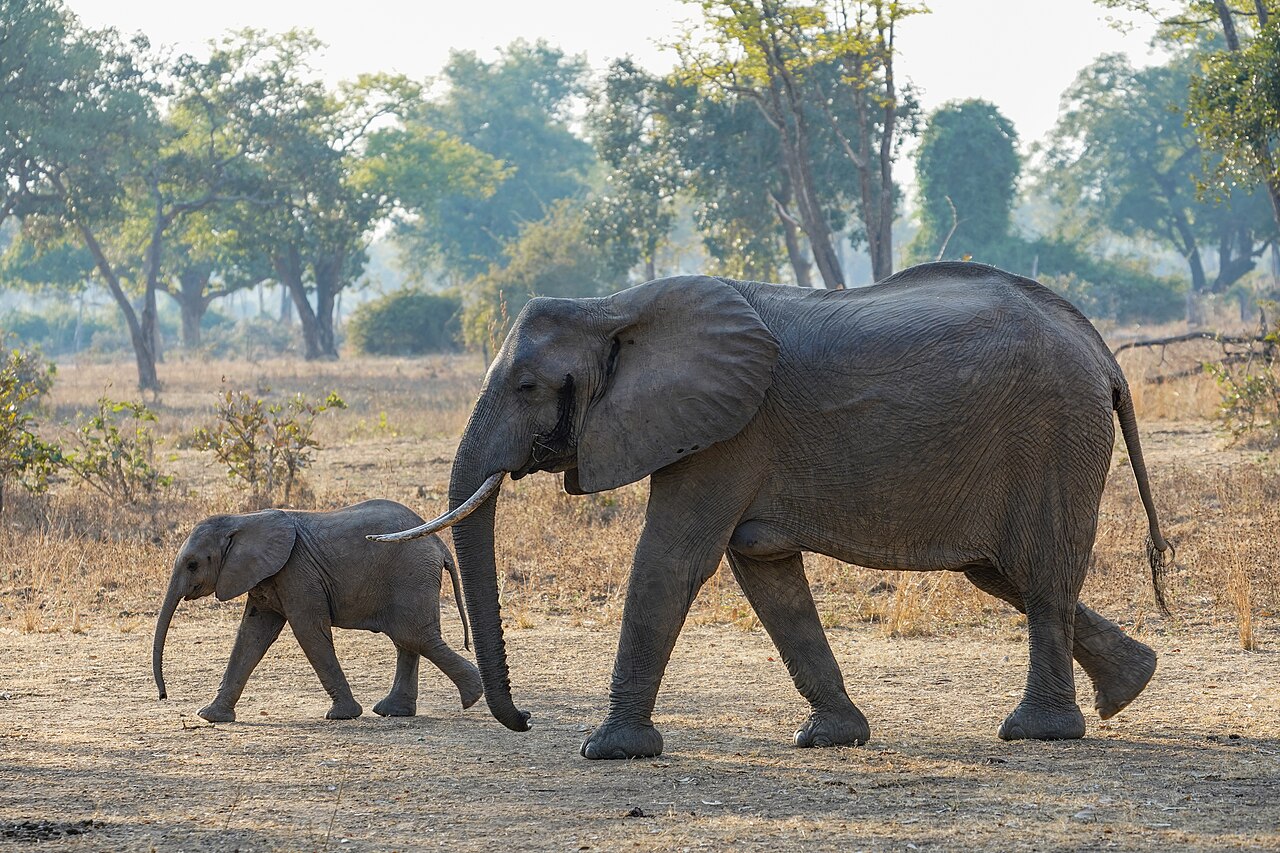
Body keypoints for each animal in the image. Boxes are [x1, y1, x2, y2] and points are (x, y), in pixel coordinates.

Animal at [154, 499, 483, 722]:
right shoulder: (266, 575)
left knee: (415, 637)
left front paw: (343, 715)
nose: (163, 695)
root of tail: (439, 544)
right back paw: (394, 711)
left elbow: (308, 631)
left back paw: (473, 696)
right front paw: (210, 716)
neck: (243, 520)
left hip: (411, 576)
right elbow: (251, 635)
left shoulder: (297, 571)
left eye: (193, 564)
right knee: (408, 640)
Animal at [371, 261, 1173, 760]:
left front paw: (607, 750)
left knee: (1039, 572)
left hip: (1054, 432)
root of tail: (1104, 352)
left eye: (528, 387)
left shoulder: (730, 430)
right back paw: (1130, 687)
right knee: (1005, 573)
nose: (525, 718)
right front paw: (831, 738)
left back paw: (1037, 732)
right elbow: (765, 572)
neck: (612, 306)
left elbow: (671, 560)